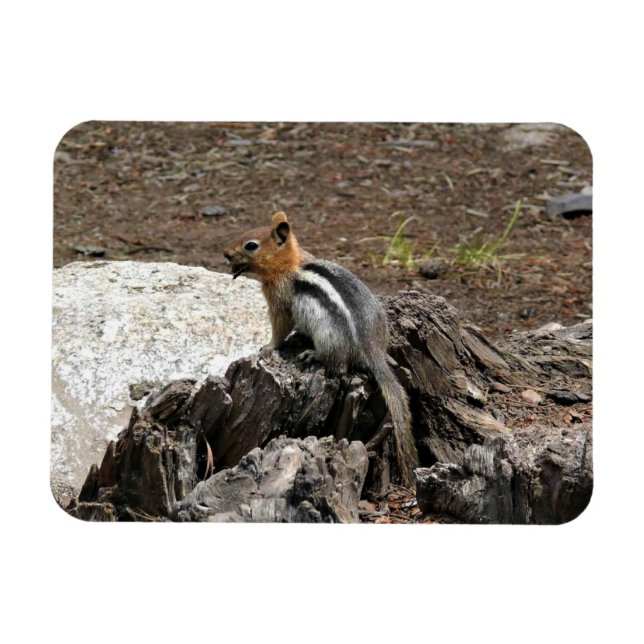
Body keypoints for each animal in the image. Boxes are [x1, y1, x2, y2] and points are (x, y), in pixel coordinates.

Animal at [223, 211, 420, 487]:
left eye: (251, 245)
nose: (225, 253)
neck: (290, 263)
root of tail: (372, 348)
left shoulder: (280, 301)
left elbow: (281, 328)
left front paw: (268, 347)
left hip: (329, 337)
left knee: (339, 366)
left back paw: (312, 354)